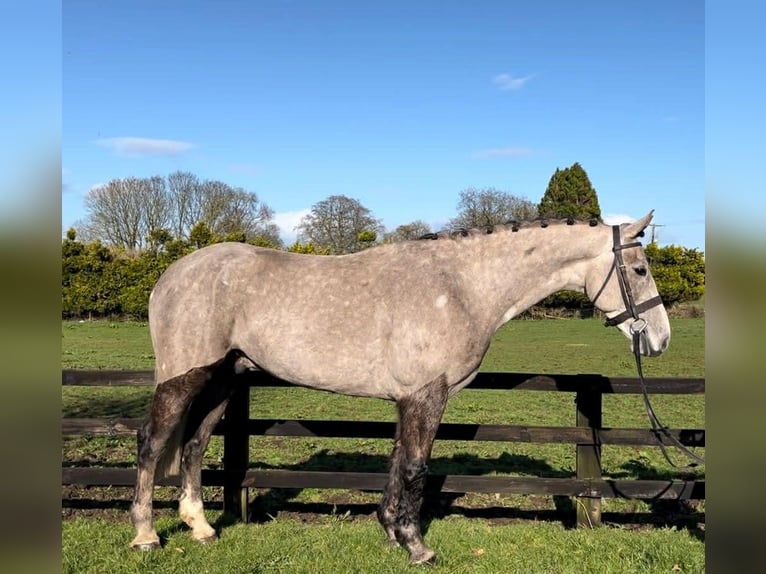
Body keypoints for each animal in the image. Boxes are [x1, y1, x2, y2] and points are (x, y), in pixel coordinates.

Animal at [129, 211, 670, 564]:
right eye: (640, 269)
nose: (661, 339)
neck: (461, 286)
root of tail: (170, 277)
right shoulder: (426, 395)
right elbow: (414, 466)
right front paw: (416, 545)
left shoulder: (405, 400)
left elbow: (396, 463)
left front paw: (390, 530)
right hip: (184, 377)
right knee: (152, 443)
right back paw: (146, 535)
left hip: (223, 378)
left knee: (195, 445)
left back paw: (200, 527)